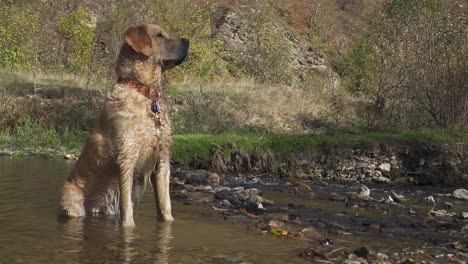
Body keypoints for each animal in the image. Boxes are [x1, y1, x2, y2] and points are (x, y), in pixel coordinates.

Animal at [58, 24, 188, 227]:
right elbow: (127, 211)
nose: (187, 41)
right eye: (159, 35)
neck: (144, 92)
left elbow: (165, 206)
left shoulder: (162, 162)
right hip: (71, 200)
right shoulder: (127, 158)